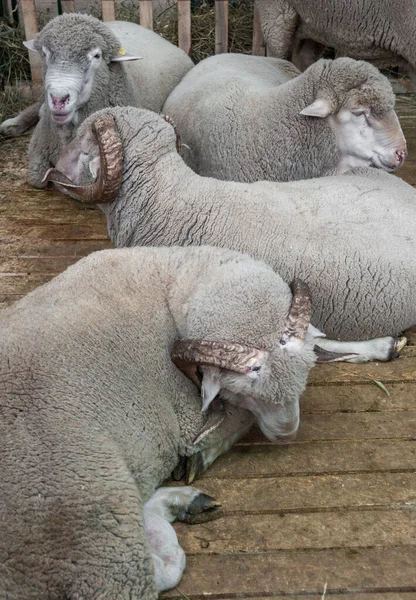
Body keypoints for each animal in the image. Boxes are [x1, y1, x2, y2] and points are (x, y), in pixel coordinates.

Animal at [0, 13, 193, 188]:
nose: (58, 99)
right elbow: (37, 180)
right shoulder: (37, 158)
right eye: (45, 54)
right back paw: (11, 125)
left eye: (97, 56)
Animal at [0, 246, 354, 596]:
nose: (287, 435)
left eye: (305, 373)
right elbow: (234, 422)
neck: (171, 279)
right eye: (243, 392)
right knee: (159, 571)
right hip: (93, 524)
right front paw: (203, 453)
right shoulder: (188, 416)